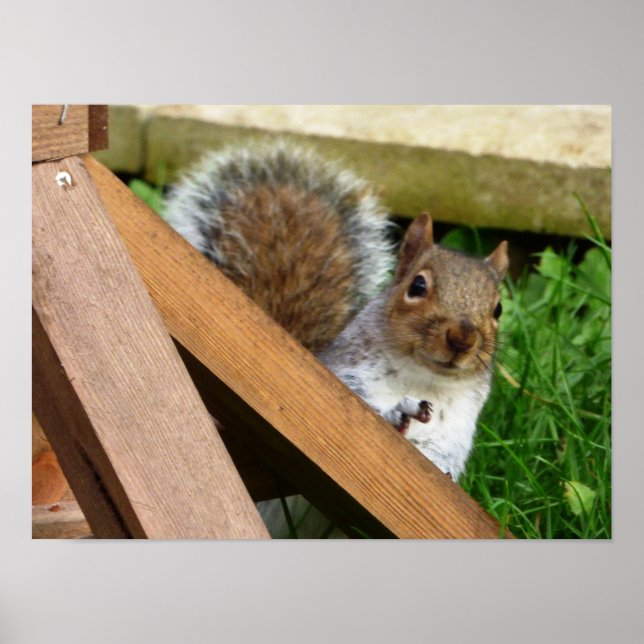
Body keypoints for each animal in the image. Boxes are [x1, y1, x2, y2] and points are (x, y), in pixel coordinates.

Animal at [164, 143, 509, 485]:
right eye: (417, 285)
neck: (424, 380)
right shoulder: (344, 383)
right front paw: (398, 412)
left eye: (498, 308)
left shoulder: (454, 433)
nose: (462, 338)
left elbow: (441, 464)